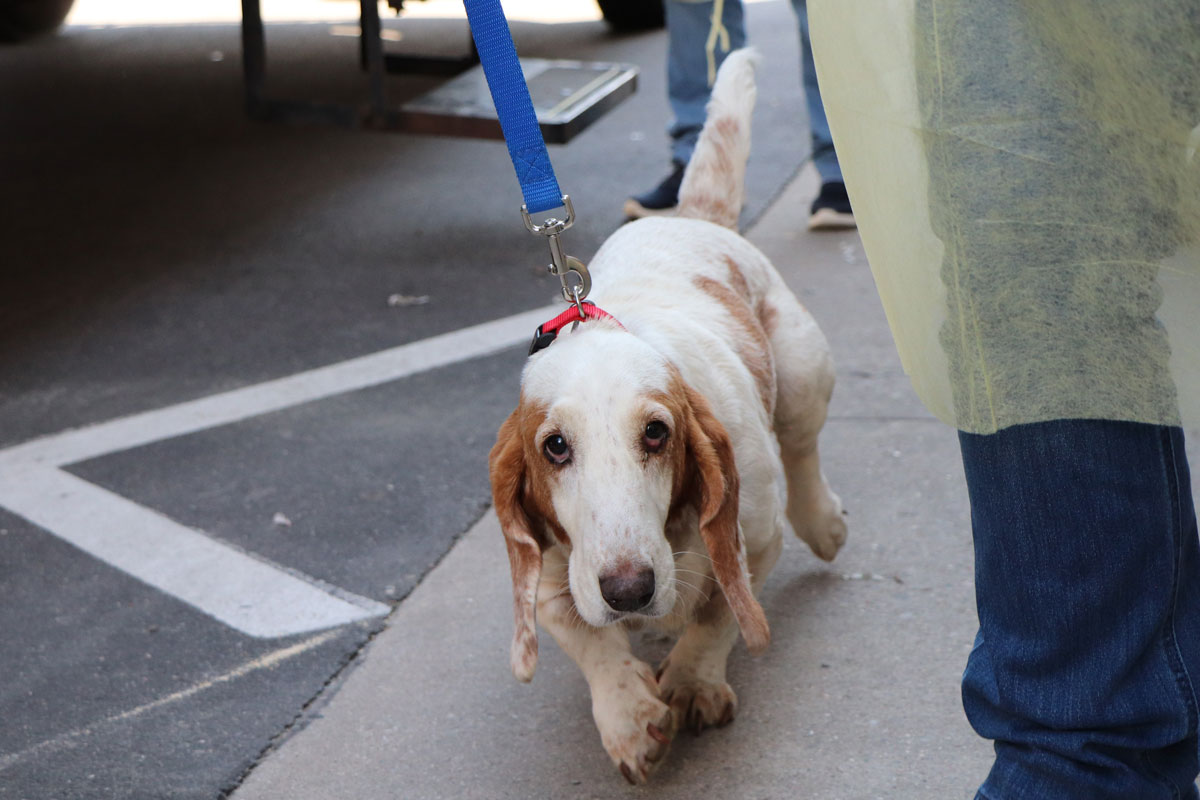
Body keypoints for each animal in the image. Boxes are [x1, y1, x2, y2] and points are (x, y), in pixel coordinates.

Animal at [487, 48, 844, 782]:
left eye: (657, 433)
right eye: (554, 447)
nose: (628, 590)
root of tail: (692, 214)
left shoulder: (754, 540)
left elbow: (720, 615)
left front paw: (690, 683)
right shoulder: (551, 573)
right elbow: (588, 640)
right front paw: (629, 718)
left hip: (801, 374)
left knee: (803, 452)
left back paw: (823, 523)